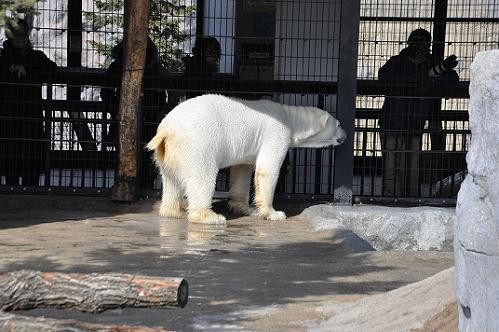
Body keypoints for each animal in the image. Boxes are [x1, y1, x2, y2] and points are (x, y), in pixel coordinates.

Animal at [146, 94, 346, 223]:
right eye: (339, 124)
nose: (345, 135)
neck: (290, 118)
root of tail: (167, 130)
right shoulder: (276, 132)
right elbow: (268, 169)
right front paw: (274, 214)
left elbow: (242, 171)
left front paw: (247, 209)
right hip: (198, 143)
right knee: (202, 177)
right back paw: (210, 217)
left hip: (167, 153)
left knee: (171, 179)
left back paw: (174, 212)